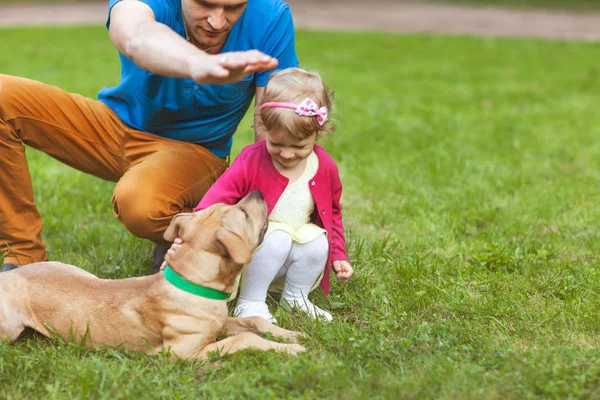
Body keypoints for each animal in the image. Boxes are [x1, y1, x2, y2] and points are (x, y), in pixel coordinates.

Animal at [0, 191, 304, 360]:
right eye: (243, 212)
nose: (258, 192)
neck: (192, 283)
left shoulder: (219, 324)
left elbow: (253, 321)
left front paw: (290, 335)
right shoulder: (182, 354)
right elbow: (244, 339)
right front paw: (292, 350)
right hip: (10, 328)